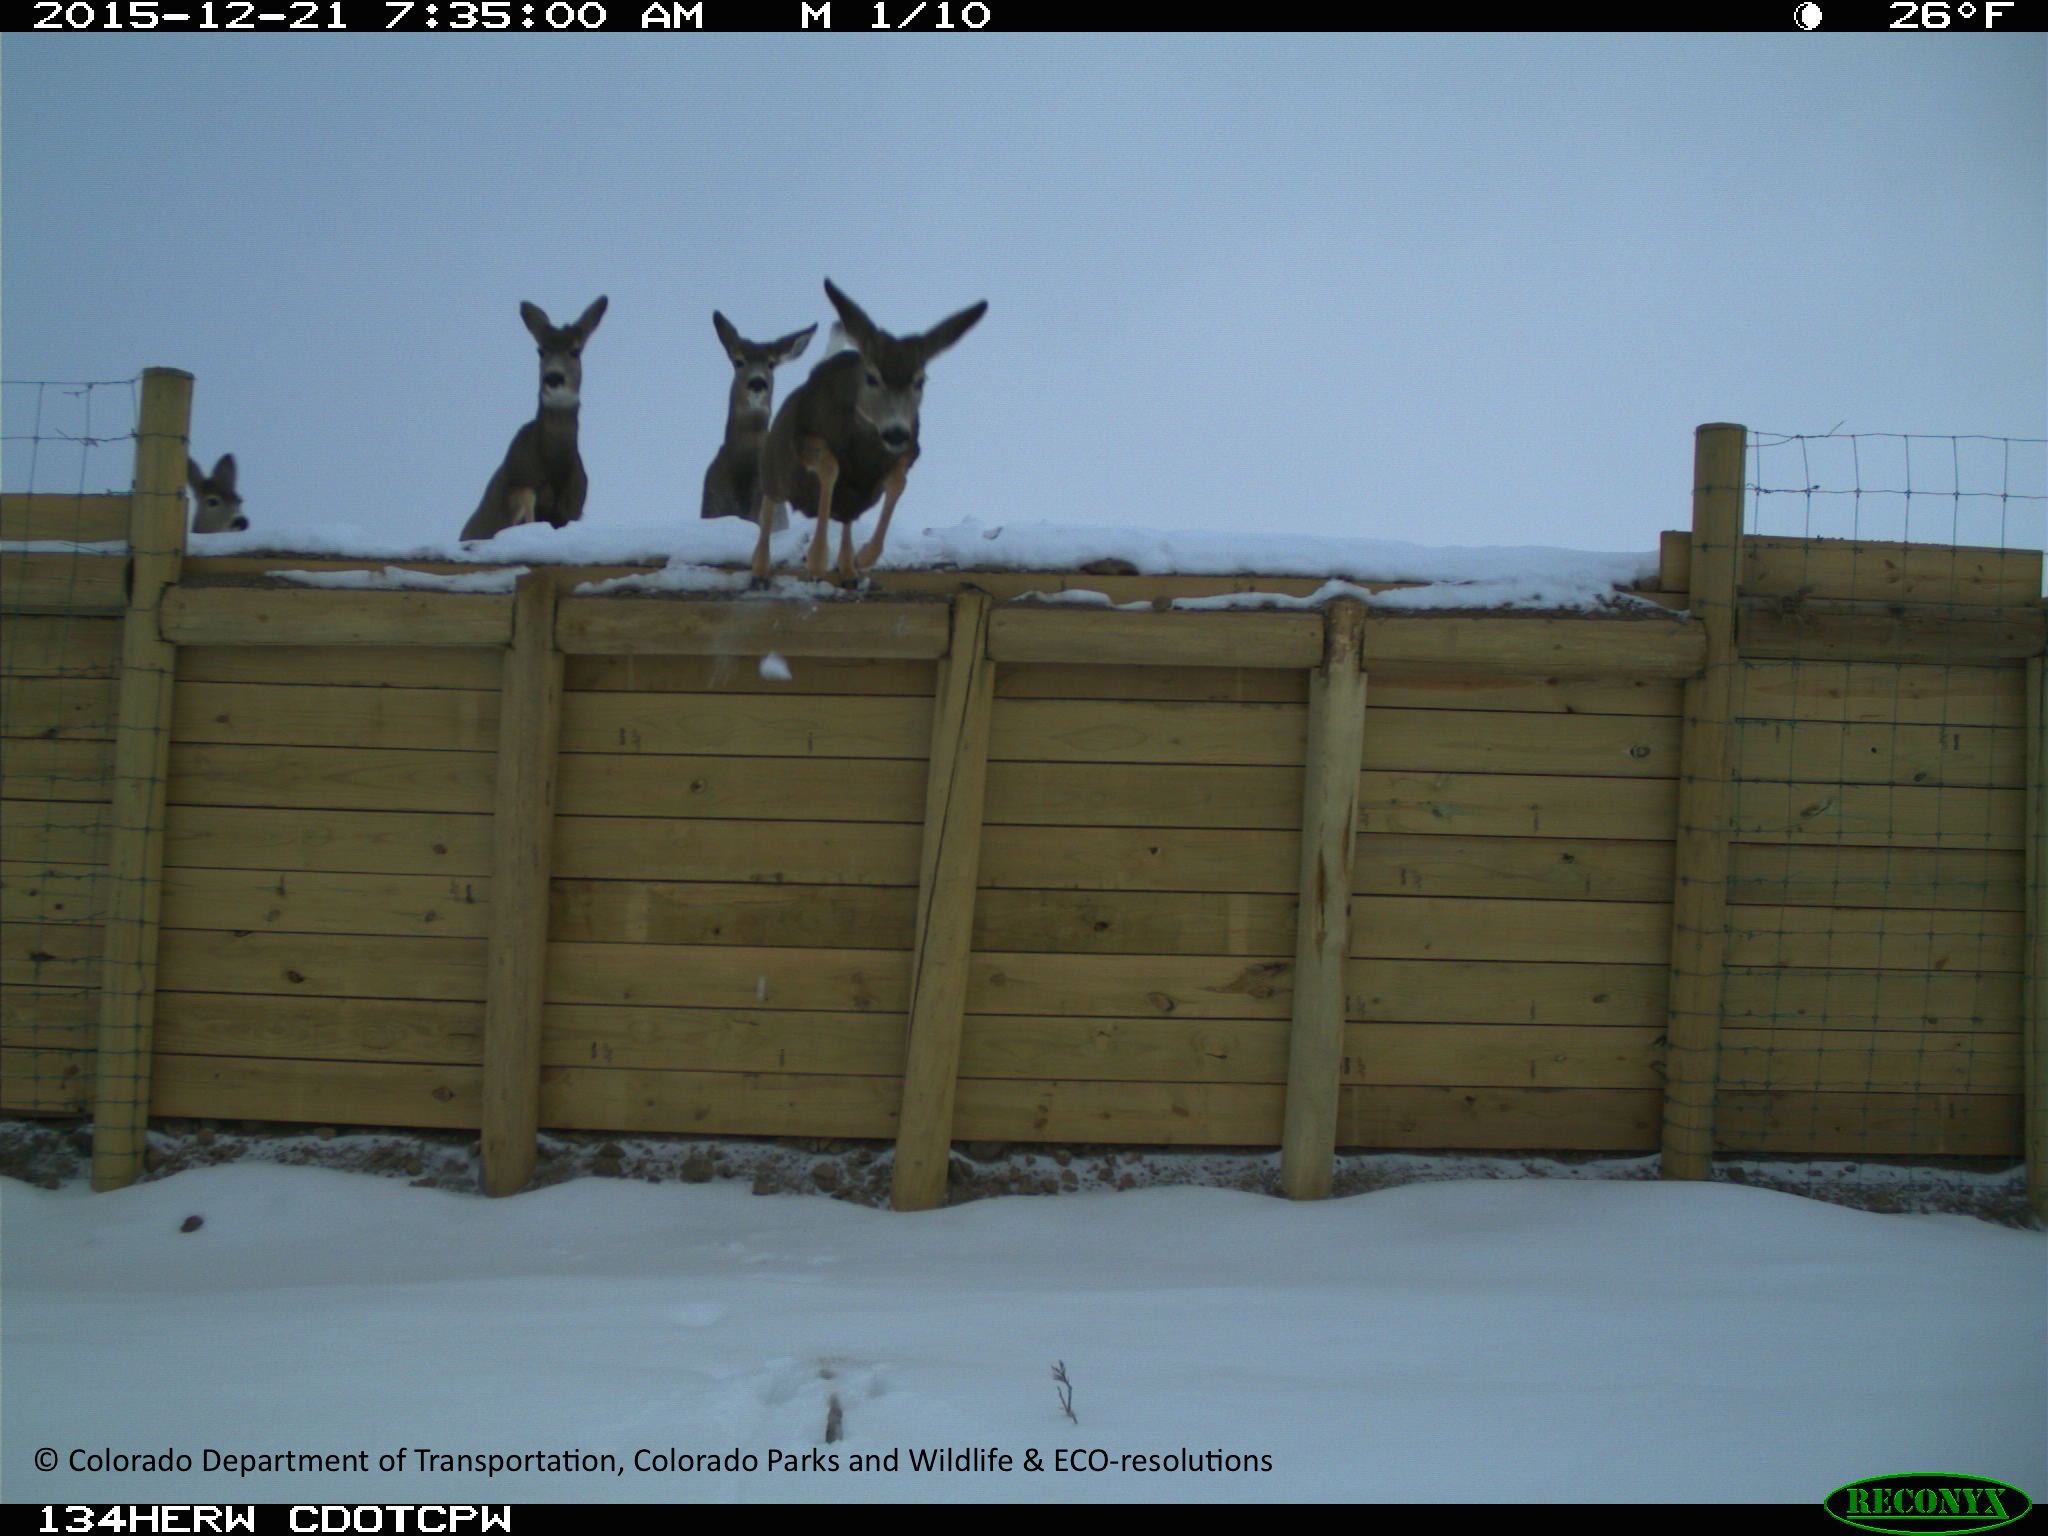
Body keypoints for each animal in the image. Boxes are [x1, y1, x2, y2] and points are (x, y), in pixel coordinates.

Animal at [460, 295, 608, 541]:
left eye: (575, 351)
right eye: (541, 350)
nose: (554, 377)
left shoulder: (574, 508)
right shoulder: (516, 487)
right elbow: (525, 506)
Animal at [752, 280, 986, 586]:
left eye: (920, 380)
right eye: (872, 377)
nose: (895, 432)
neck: (863, 444)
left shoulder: (908, 450)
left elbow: (898, 482)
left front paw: (864, 557)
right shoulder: (803, 438)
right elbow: (830, 467)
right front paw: (817, 559)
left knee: (846, 518)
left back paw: (848, 568)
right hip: (775, 465)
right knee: (769, 500)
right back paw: (760, 566)